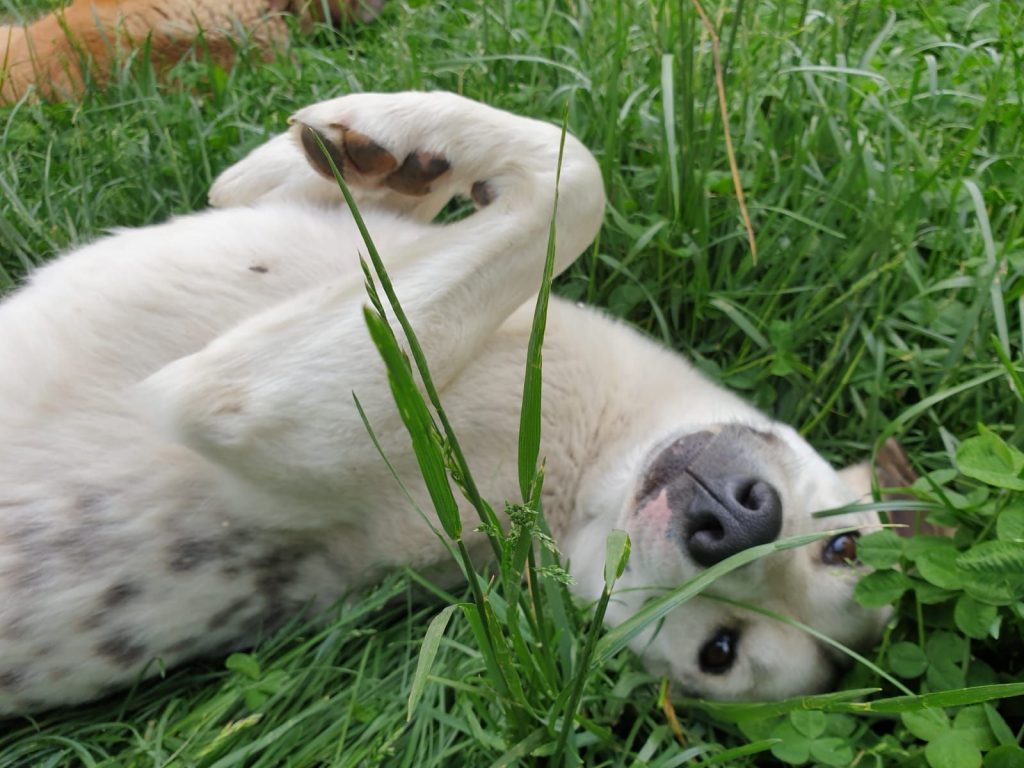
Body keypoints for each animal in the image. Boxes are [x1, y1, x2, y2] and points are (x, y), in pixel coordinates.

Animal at [0, 91, 896, 714]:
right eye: (842, 545)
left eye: (719, 651)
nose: (743, 521)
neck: (581, 468)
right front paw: (379, 152)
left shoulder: (254, 397)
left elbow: (578, 181)